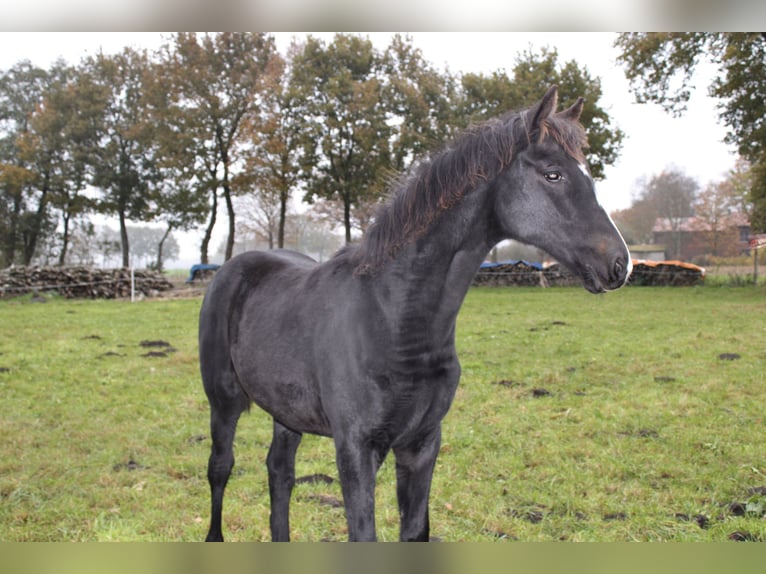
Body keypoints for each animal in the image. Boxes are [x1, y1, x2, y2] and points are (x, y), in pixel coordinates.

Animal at [201, 86, 632, 544]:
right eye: (553, 174)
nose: (620, 264)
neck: (394, 321)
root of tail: (232, 268)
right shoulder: (355, 448)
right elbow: (363, 534)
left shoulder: (422, 443)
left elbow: (414, 532)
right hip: (223, 402)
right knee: (220, 468)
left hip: (287, 413)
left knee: (280, 473)